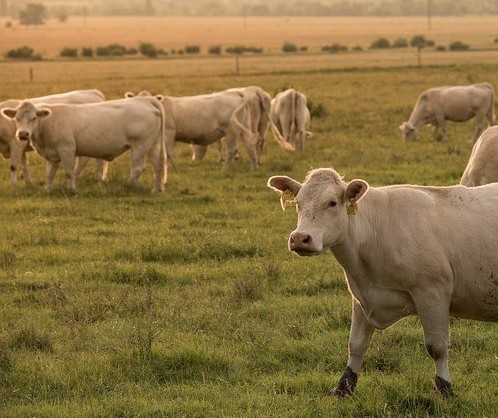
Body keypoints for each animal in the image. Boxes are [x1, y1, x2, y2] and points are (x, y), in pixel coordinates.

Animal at [0, 96, 167, 193]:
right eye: (16, 118)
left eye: (34, 118)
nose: (23, 134)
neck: (49, 122)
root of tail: (146, 100)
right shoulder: (52, 154)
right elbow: (50, 173)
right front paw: (48, 189)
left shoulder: (66, 149)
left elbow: (69, 171)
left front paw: (71, 189)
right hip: (153, 145)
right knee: (158, 165)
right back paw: (156, 189)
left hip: (140, 145)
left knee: (138, 167)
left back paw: (128, 186)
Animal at [126, 86, 294, 170]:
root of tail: (240, 94)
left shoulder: (169, 133)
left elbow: (167, 153)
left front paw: (171, 168)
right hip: (246, 125)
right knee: (251, 145)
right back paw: (253, 167)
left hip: (231, 130)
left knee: (232, 150)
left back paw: (226, 169)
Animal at [268, 167, 498, 396]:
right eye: (298, 203)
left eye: (332, 203)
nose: (300, 238)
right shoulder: (362, 296)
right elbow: (356, 344)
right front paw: (343, 387)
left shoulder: (432, 293)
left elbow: (437, 347)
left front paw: (445, 389)